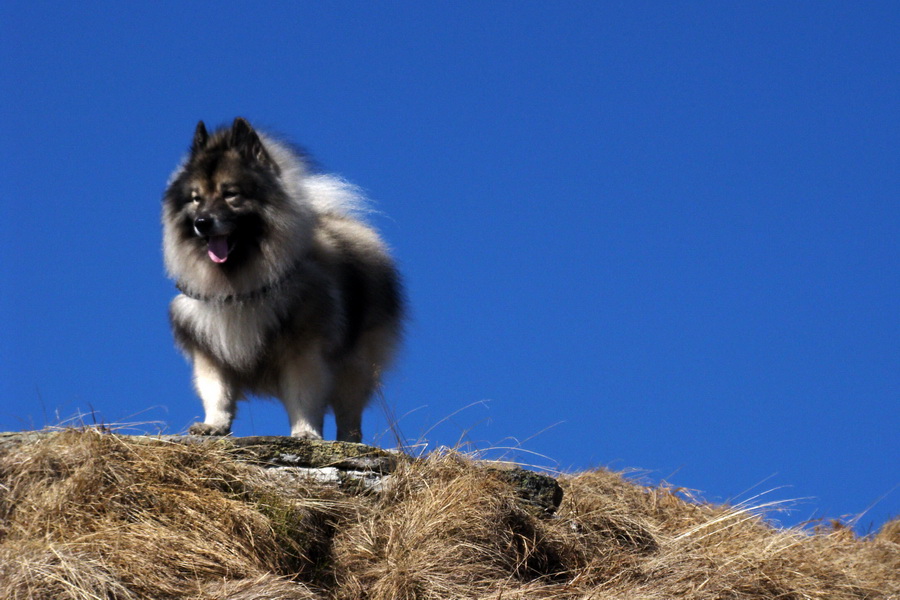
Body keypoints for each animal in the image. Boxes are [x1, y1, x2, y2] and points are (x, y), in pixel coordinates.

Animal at [162, 118, 404, 446]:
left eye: (230, 193)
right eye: (196, 198)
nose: (202, 222)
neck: (240, 285)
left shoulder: (303, 351)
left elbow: (303, 397)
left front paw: (305, 432)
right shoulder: (210, 350)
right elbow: (217, 392)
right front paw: (213, 425)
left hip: (355, 363)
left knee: (349, 412)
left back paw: (348, 440)